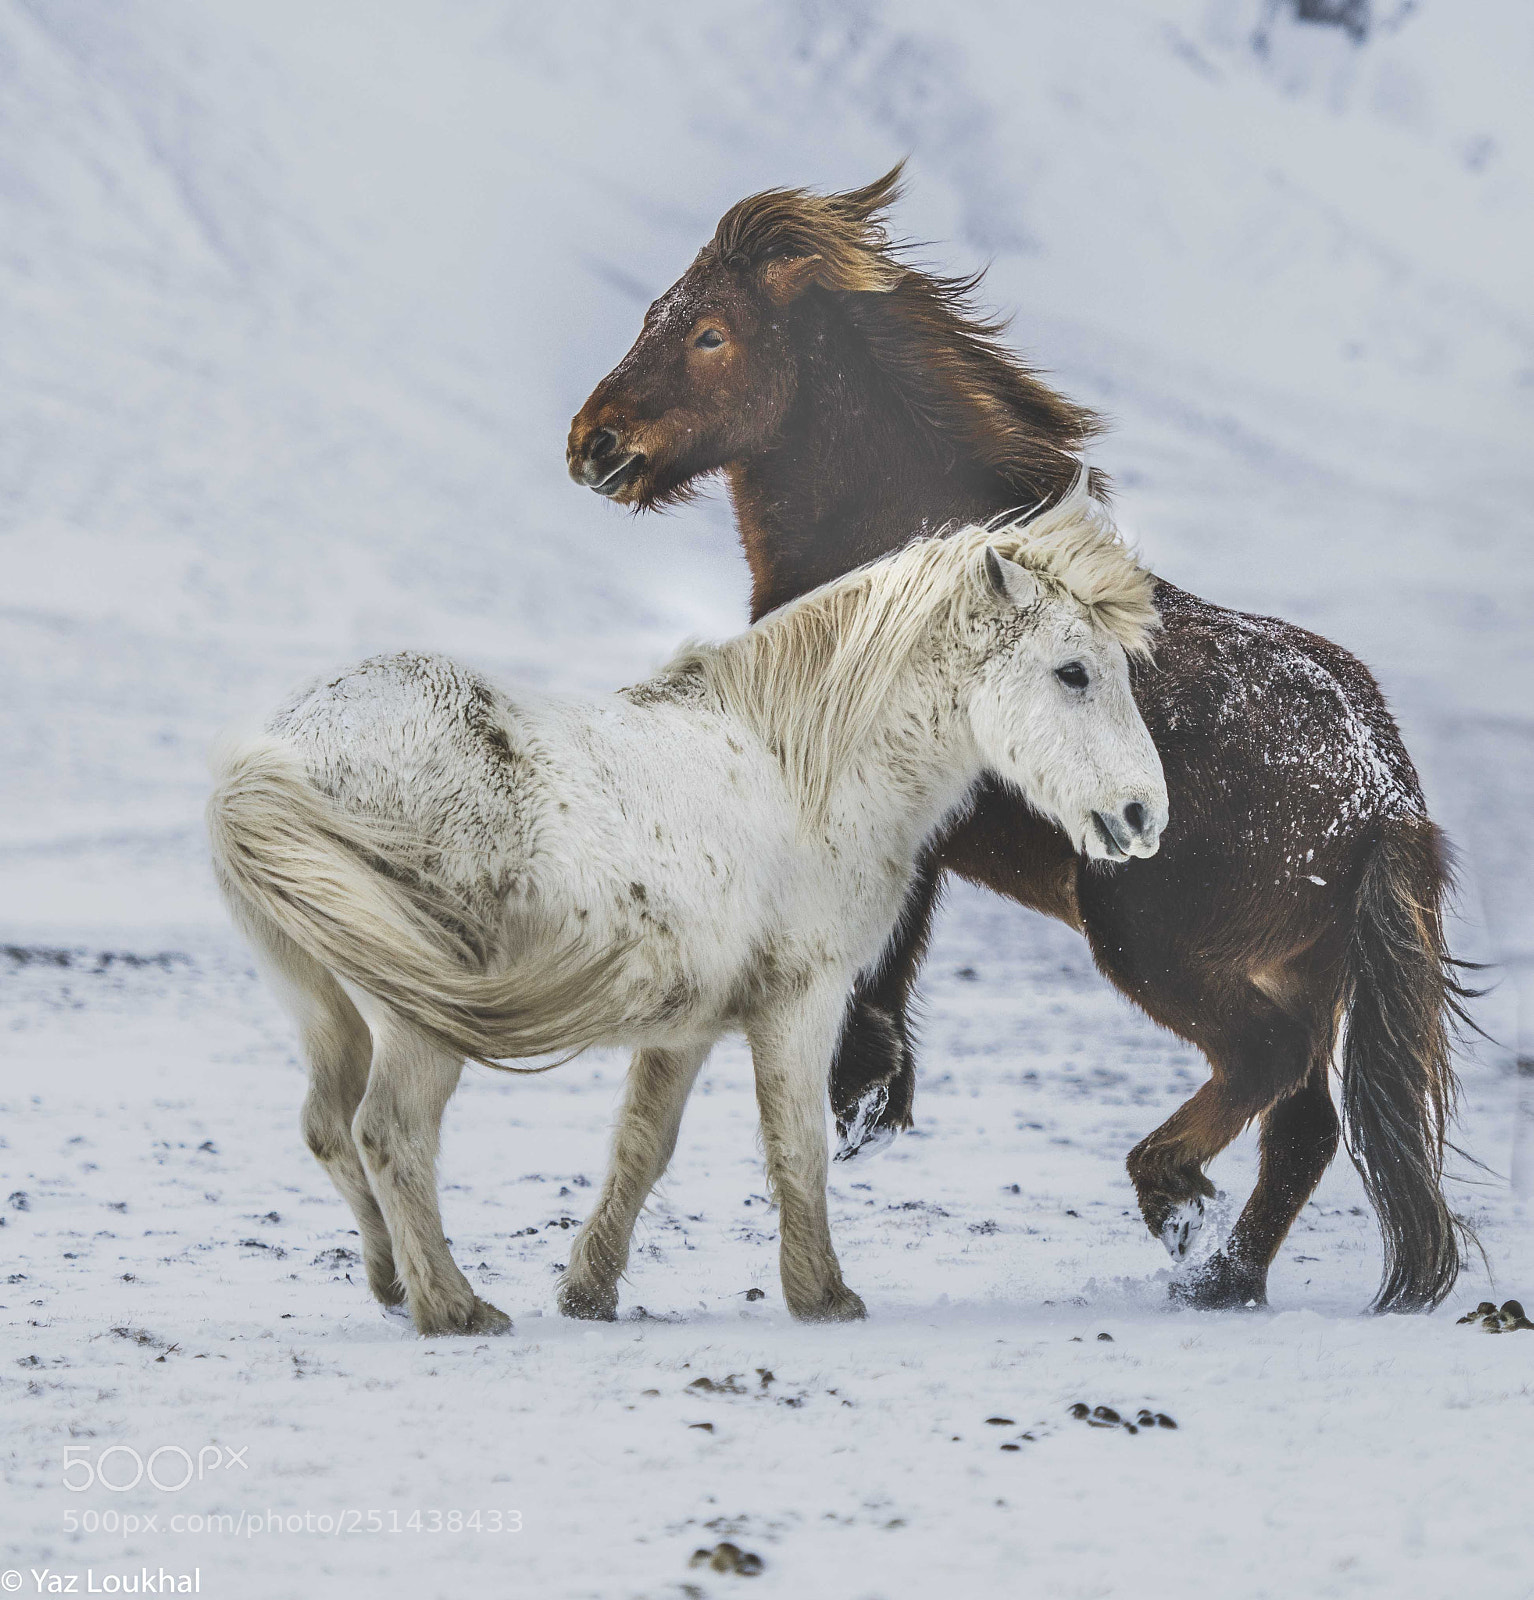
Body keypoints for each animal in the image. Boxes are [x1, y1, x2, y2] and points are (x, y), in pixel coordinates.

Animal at [207, 491, 1166, 1335]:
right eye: (1073, 673)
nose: (1143, 816)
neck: (799, 768)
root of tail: (282, 752)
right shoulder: (801, 1000)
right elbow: (798, 1146)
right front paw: (823, 1296)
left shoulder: (685, 1026)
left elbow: (641, 1148)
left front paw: (589, 1292)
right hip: (420, 1022)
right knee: (390, 1134)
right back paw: (455, 1309)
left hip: (326, 1006)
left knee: (329, 1127)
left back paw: (392, 1283)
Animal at [567, 166, 1476, 1314]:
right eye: (657, 312)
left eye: (711, 334)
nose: (592, 444)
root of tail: (1382, 793)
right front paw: (873, 1095)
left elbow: (883, 940)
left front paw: (860, 1094)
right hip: (1301, 969)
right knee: (1303, 1123)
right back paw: (1218, 1276)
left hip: (1149, 934)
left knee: (1264, 1067)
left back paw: (1172, 1197)